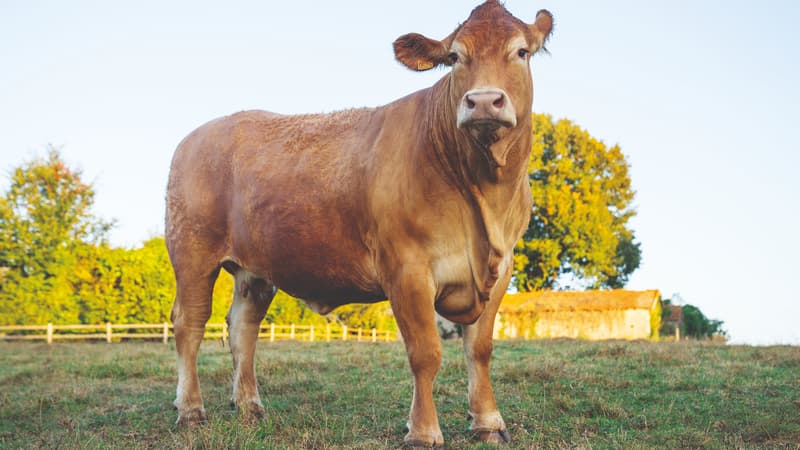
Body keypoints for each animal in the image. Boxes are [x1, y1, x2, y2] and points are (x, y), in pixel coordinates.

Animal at [166, 1, 552, 446]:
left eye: (521, 51)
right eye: (455, 57)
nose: (485, 101)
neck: (482, 200)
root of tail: (201, 133)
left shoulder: (501, 269)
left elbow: (481, 349)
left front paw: (488, 423)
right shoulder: (406, 268)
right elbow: (425, 352)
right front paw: (423, 431)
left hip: (256, 268)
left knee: (242, 326)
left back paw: (249, 407)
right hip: (192, 252)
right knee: (190, 324)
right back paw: (190, 411)